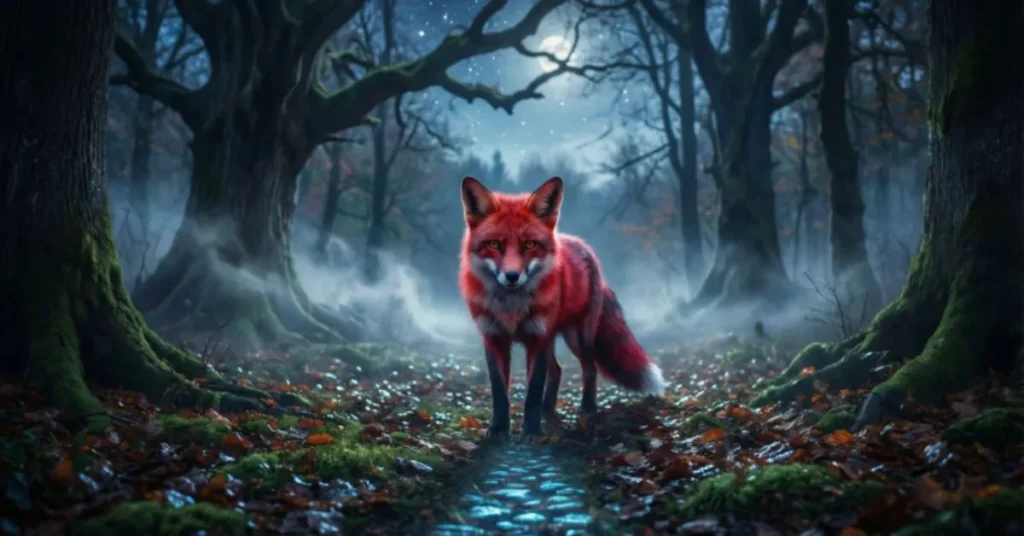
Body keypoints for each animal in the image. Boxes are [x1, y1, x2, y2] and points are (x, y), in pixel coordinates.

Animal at [458, 175, 666, 441]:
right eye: (494, 244)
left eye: (529, 244)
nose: (512, 276)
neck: (511, 309)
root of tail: (584, 247)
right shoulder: (494, 338)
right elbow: (499, 392)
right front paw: (498, 429)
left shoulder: (537, 338)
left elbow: (533, 392)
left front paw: (532, 432)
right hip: (554, 339)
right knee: (557, 371)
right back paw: (549, 409)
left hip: (578, 337)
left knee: (589, 369)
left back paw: (587, 409)